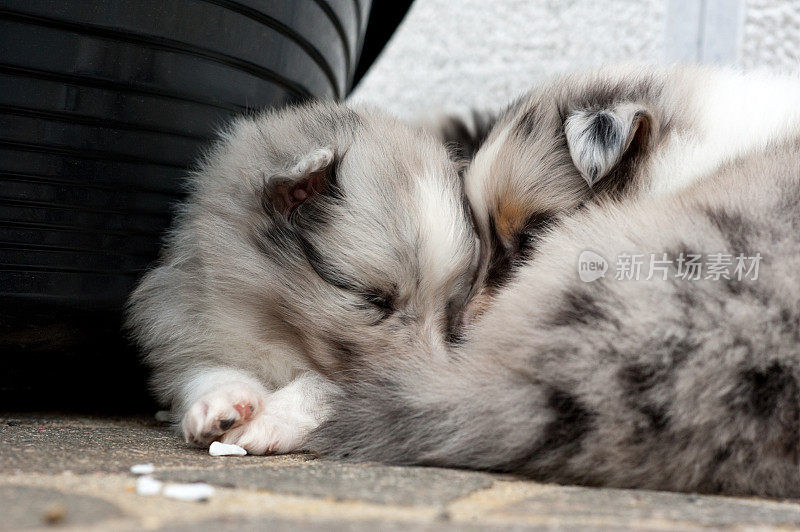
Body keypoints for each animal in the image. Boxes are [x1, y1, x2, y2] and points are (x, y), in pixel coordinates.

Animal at [124, 101, 476, 454]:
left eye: (448, 309)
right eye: (375, 301)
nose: (431, 387)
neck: (276, 329)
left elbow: (317, 385)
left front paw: (271, 419)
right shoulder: (193, 328)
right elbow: (206, 370)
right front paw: (222, 401)